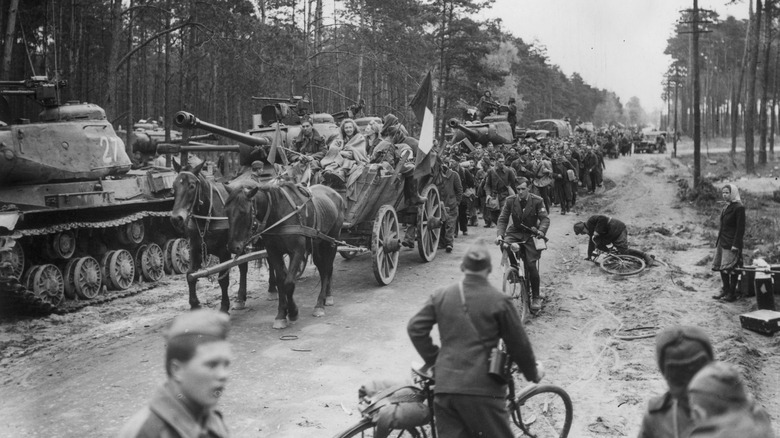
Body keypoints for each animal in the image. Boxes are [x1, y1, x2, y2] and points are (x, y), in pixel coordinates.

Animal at [169, 160, 258, 312]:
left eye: (192, 186)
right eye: (174, 186)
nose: (176, 218)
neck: (207, 216)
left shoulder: (224, 250)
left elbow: (223, 279)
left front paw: (224, 306)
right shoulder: (194, 247)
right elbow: (190, 275)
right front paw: (194, 304)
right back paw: (241, 297)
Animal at [224, 181, 342, 328]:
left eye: (243, 212)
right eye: (227, 211)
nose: (233, 247)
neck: (278, 214)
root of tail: (335, 193)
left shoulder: (297, 251)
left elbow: (289, 282)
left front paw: (293, 312)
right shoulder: (273, 252)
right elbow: (281, 281)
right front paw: (281, 314)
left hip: (331, 242)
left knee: (327, 269)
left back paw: (321, 303)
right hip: (317, 245)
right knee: (323, 268)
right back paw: (326, 296)